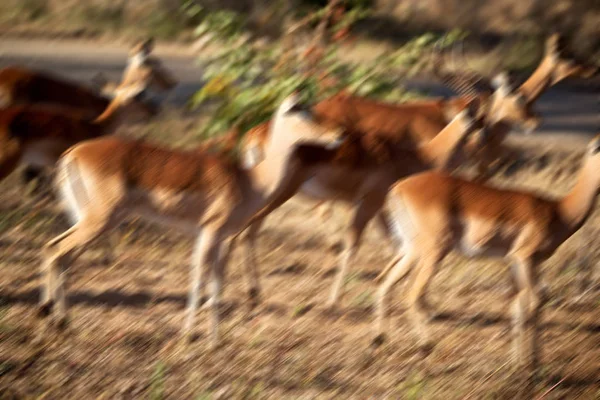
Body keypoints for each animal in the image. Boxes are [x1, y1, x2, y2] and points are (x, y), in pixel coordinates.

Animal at [368, 134, 600, 368]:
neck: (559, 212)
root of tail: (399, 187)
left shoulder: (516, 263)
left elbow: (518, 305)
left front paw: (516, 362)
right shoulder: (524, 258)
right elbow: (534, 301)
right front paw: (530, 365)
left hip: (411, 249)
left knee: (385, 282)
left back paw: (378, 340)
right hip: (433, 251)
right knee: (413, 293)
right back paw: (425, 346)